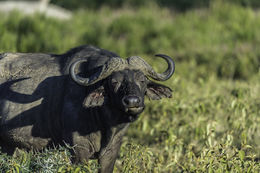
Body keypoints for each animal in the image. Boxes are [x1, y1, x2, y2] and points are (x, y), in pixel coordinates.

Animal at [0, 45, 175, 172]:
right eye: (114, 82)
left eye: (142, 80)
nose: (132, 101)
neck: (104, 123)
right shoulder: (78, 149)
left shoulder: (111, 151)